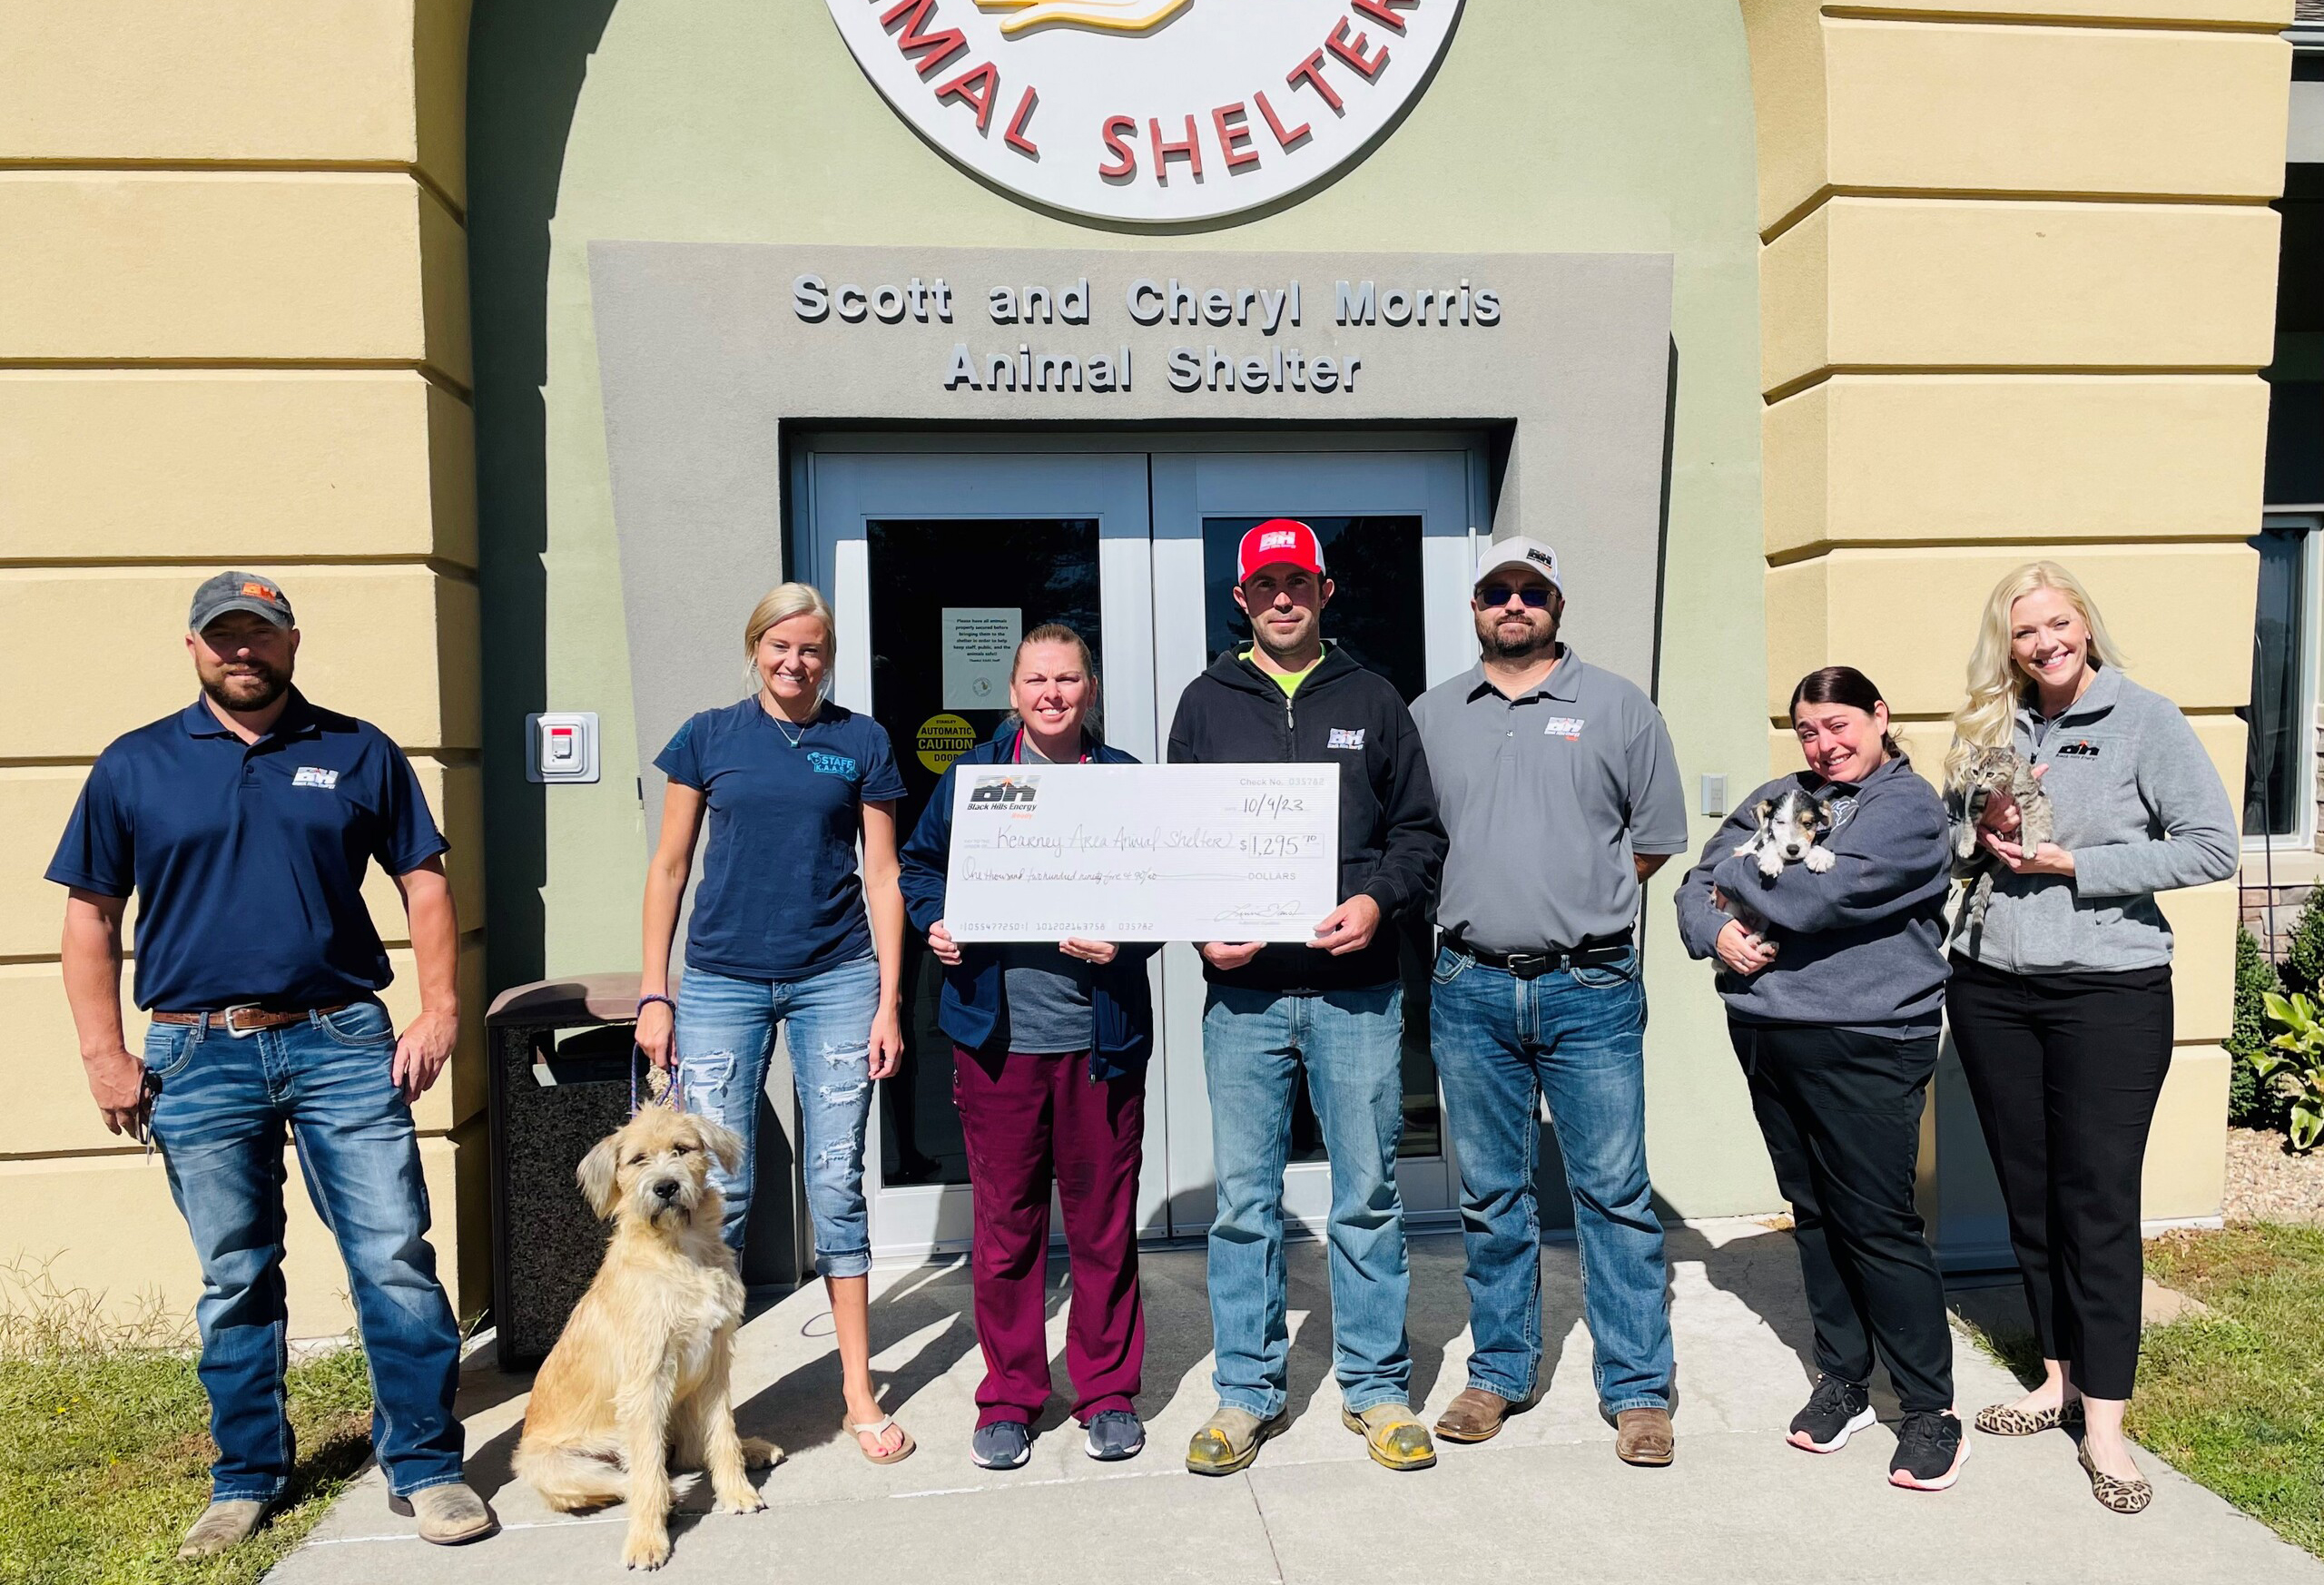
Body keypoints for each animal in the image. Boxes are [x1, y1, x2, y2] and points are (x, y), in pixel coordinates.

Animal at [511, 1106, 781, 1561]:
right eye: (638, 1160)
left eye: (682, 1149)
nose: (666, 1187)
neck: (679, 1249)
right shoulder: (645, 1382)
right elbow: (649, 1473)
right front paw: (647, 1539)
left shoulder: (714, 1362)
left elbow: (721, 1434)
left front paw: (736, 1491)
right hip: (558, 1466)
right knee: (636, 1476)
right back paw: (668, 1499)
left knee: (692, 1451)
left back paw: (752, 1448)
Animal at [1952, 743, 2063, 939]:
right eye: (1975, 771)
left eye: (1990, 774)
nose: (1978, 783)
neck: (2003, 785)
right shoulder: (1978, 797)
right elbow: (1970, 822)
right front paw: (1966, 845)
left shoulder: (2029, 796)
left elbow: (2030, 822)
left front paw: (2029, 845)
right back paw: (1998, 833)